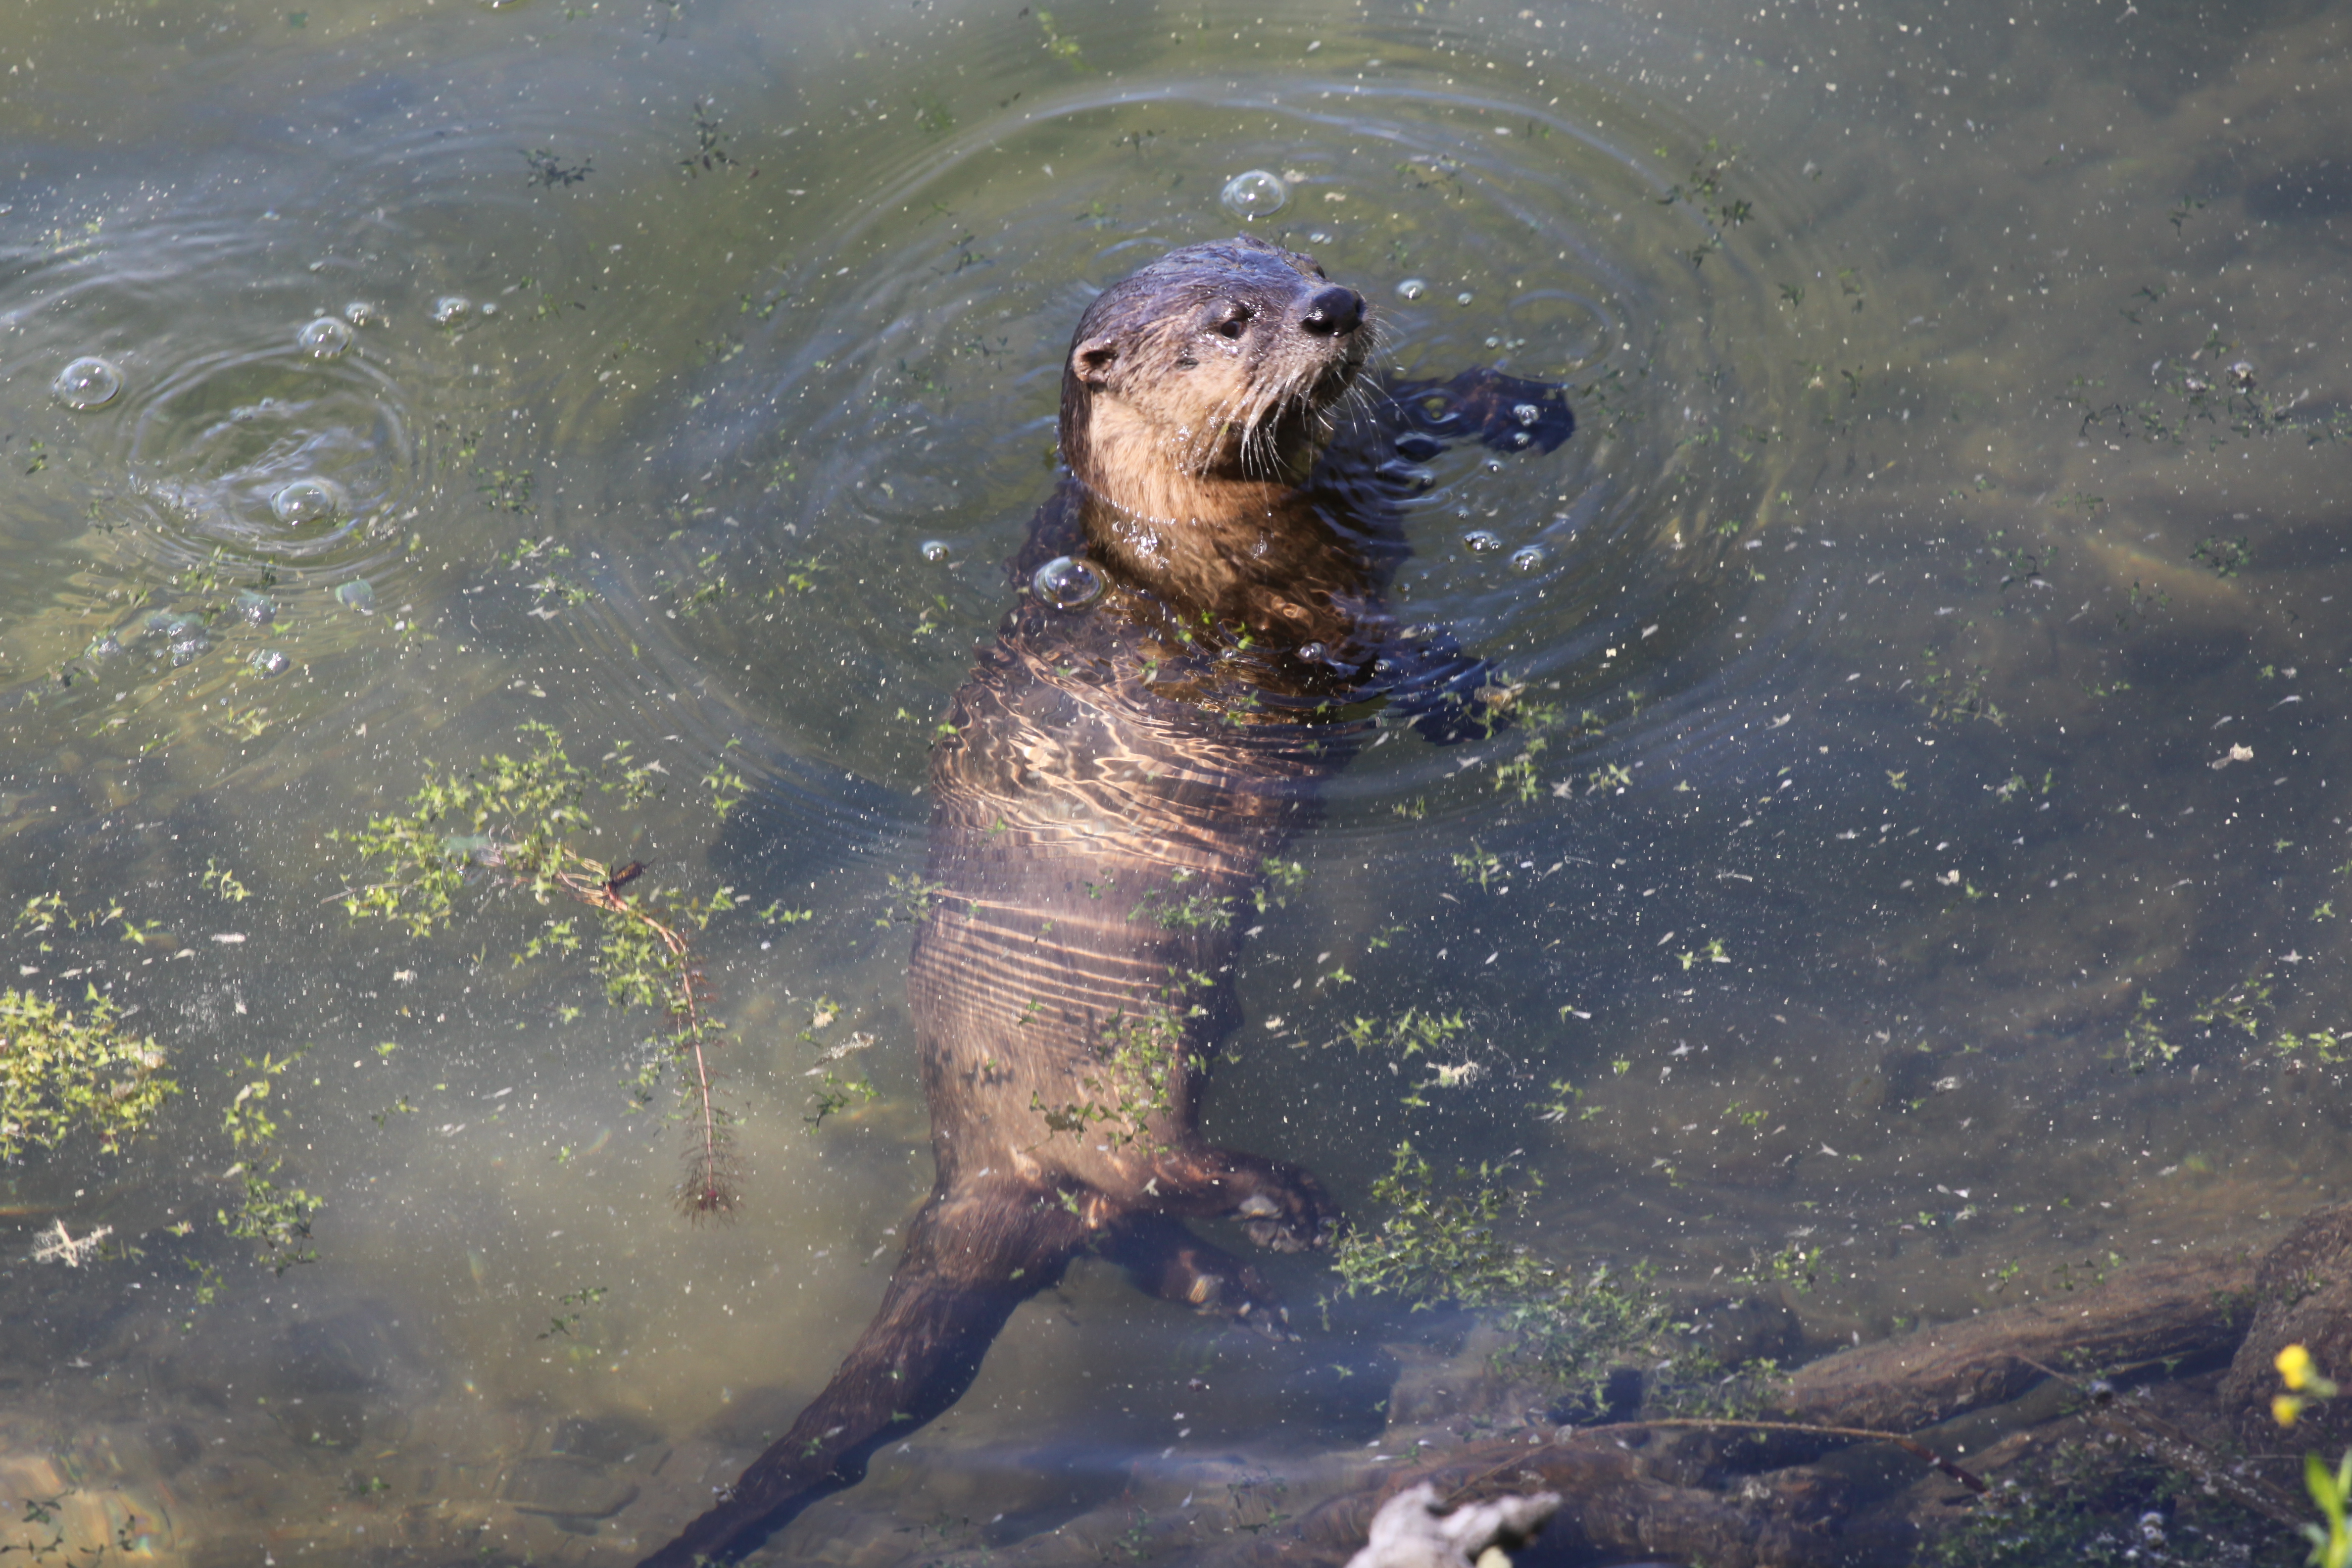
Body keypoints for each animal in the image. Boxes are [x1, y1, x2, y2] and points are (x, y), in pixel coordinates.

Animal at [635, 236, 1571, 1568]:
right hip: (1106, 1053)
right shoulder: (1270, 608)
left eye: (1303, 264)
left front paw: (1515, 402)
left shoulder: (1356, 476)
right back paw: (1282, 1206)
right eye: (1232, 321)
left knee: (1118, 1229)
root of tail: (968, 1166)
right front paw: (1462, 691)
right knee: (1141, 1166)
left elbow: (1411, 415)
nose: (1332, 310)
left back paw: (1243, 1291)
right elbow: (1356, 648)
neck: (1179, 520)